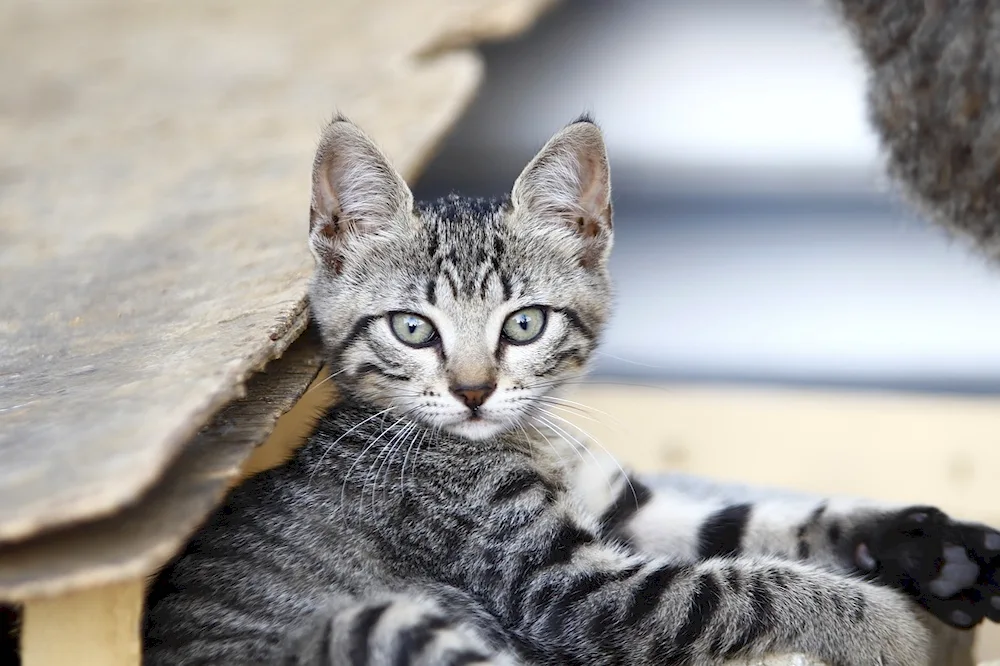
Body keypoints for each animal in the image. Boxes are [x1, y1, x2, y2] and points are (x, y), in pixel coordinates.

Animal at [143, 2, 1000, 660]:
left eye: (523, 324)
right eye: (414, 329)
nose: (474, 391)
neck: (528, 441)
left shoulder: (627, 512)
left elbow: (756, 523)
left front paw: (930, 547)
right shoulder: (561, 584)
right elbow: (738, 584)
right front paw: (883, 625)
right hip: (376, 621)